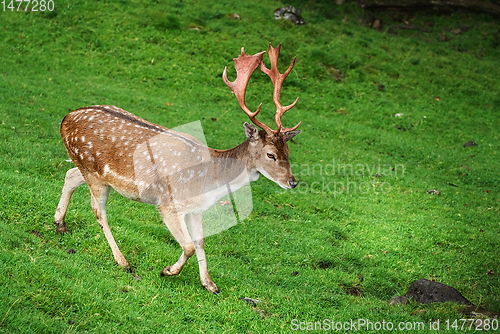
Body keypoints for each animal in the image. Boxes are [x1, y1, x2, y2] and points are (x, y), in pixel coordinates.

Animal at [56, 43, 302, 294]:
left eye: (288, 152)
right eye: (270, 154)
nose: (292, 182)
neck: (209, 181)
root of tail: (65, 119)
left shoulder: (196, 209)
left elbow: (200, 242)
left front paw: (209, 284)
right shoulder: (169, 205)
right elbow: (189, 246)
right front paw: (167, 271)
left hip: (90, 170)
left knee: (70, 174)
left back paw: (60, 224)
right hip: (93, 172)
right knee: (98, 208)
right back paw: (122, 261)